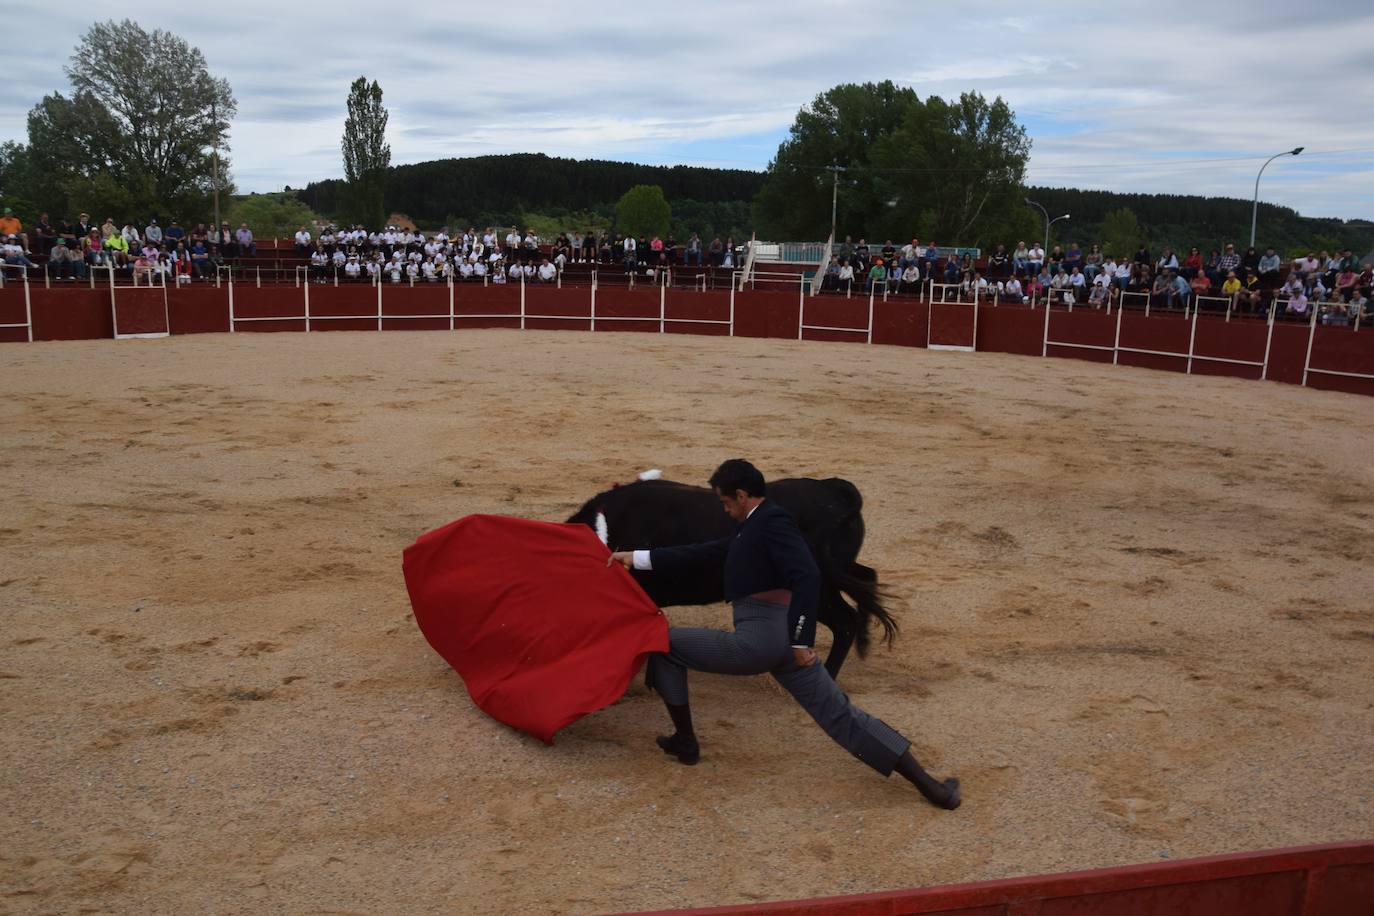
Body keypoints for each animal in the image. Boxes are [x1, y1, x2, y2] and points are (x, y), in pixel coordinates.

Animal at [563, 480, 895, 681]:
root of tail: (833, 490)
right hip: (840, 571)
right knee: (867, 579)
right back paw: (863, 643)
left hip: (819, 587)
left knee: (845, 621)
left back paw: (828, 673)